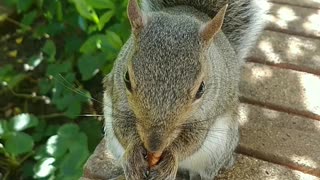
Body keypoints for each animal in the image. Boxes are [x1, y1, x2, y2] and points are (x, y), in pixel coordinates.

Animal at [104, 0, 268, 179]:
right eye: (126, 78)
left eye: (201, 89)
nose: (154, 146)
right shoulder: (119, 99)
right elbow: (122, 126)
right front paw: (134, 155)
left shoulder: (206, 114)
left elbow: (192, 141)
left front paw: (170, 160)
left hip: (219, 150)